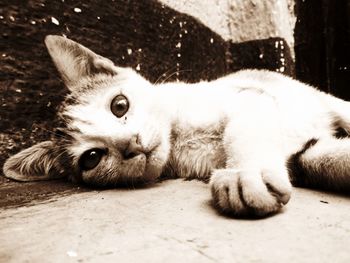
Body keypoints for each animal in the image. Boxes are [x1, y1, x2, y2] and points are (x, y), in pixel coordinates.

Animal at [2, 36, 350, 218]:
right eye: (91, 158)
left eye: (119, 105)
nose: (131, 144)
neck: (180, 138)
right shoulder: (303, 155)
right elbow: (323, 160)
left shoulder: (249, 97)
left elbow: (242, 130)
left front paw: (243, 173)